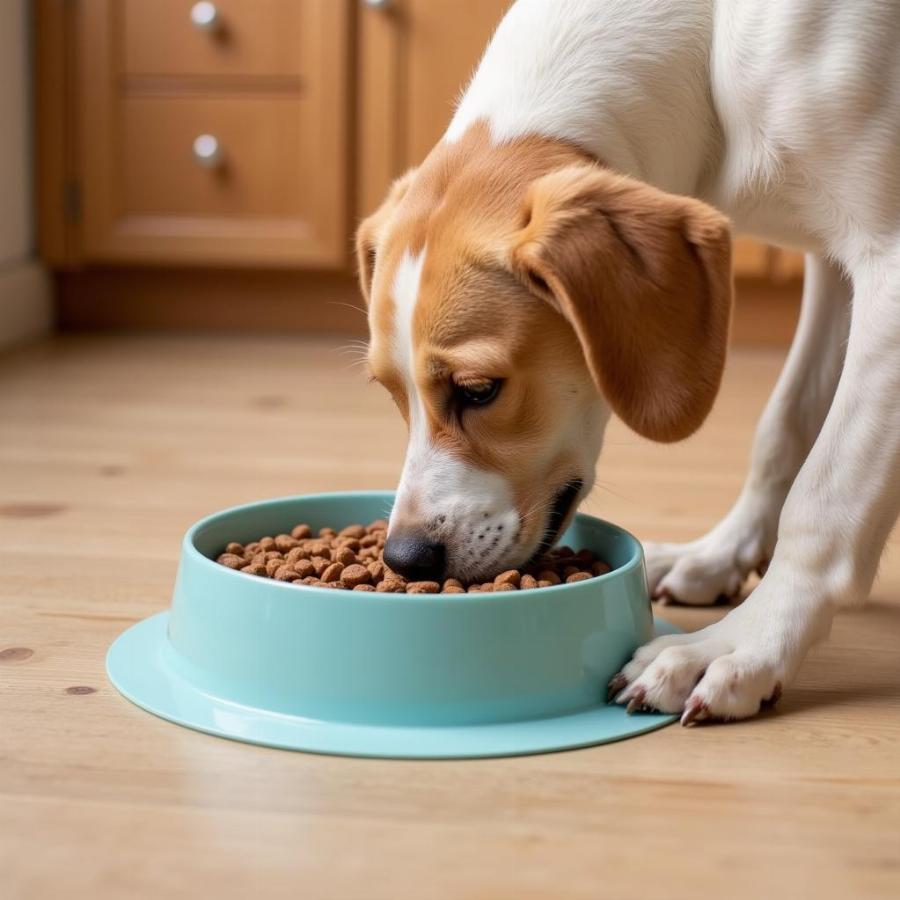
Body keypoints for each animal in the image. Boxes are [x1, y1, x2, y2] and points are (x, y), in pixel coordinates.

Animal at [356, 0, 900, 720]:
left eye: (479, 390)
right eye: (391, 392)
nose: (406, 558)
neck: (708, 46)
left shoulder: (888, 264)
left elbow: (825, 496)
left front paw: (743, 644)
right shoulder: (833, 266)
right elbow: (784, 427)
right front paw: (722, 556)